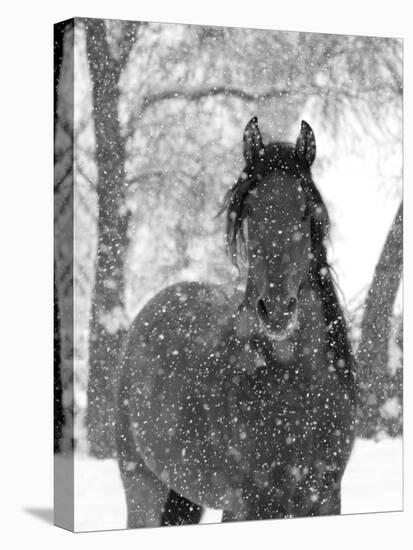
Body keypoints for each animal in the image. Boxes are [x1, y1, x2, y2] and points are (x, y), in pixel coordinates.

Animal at [114, 117, 356, 532]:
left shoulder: (325, 500)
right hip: (143, 488)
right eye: (251, 212)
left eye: (305, 211)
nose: (276, 311)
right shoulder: (250, 506)